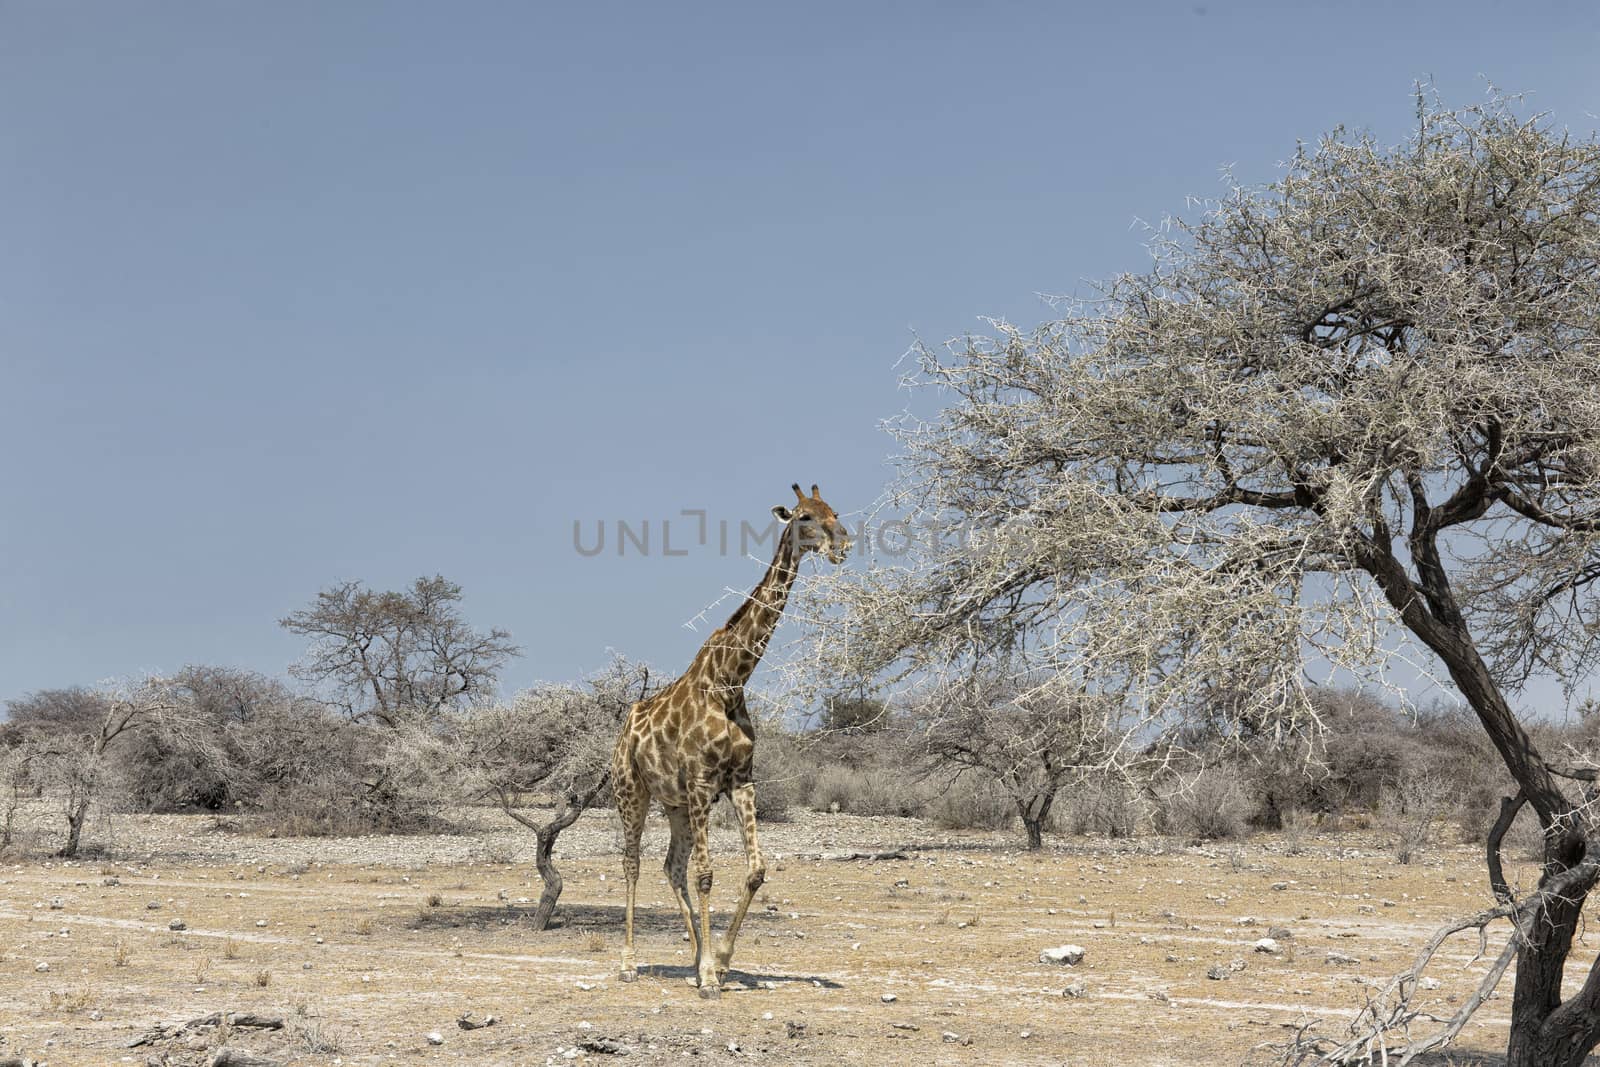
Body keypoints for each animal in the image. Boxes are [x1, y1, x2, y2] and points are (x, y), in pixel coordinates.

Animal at [614, 483, 857, 1004]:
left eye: (835, 512)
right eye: (805, 517)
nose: (842, 545)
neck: (730, 681)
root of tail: (625, 727)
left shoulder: (740, 781)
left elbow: (755, 870)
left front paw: (719, 961)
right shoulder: (703, 782)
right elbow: (708, 875)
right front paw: (710, 977)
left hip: (676, 805)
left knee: (671, 865)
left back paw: (693, 956)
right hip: (632, 791)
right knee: (633, 864)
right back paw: (629, 964)